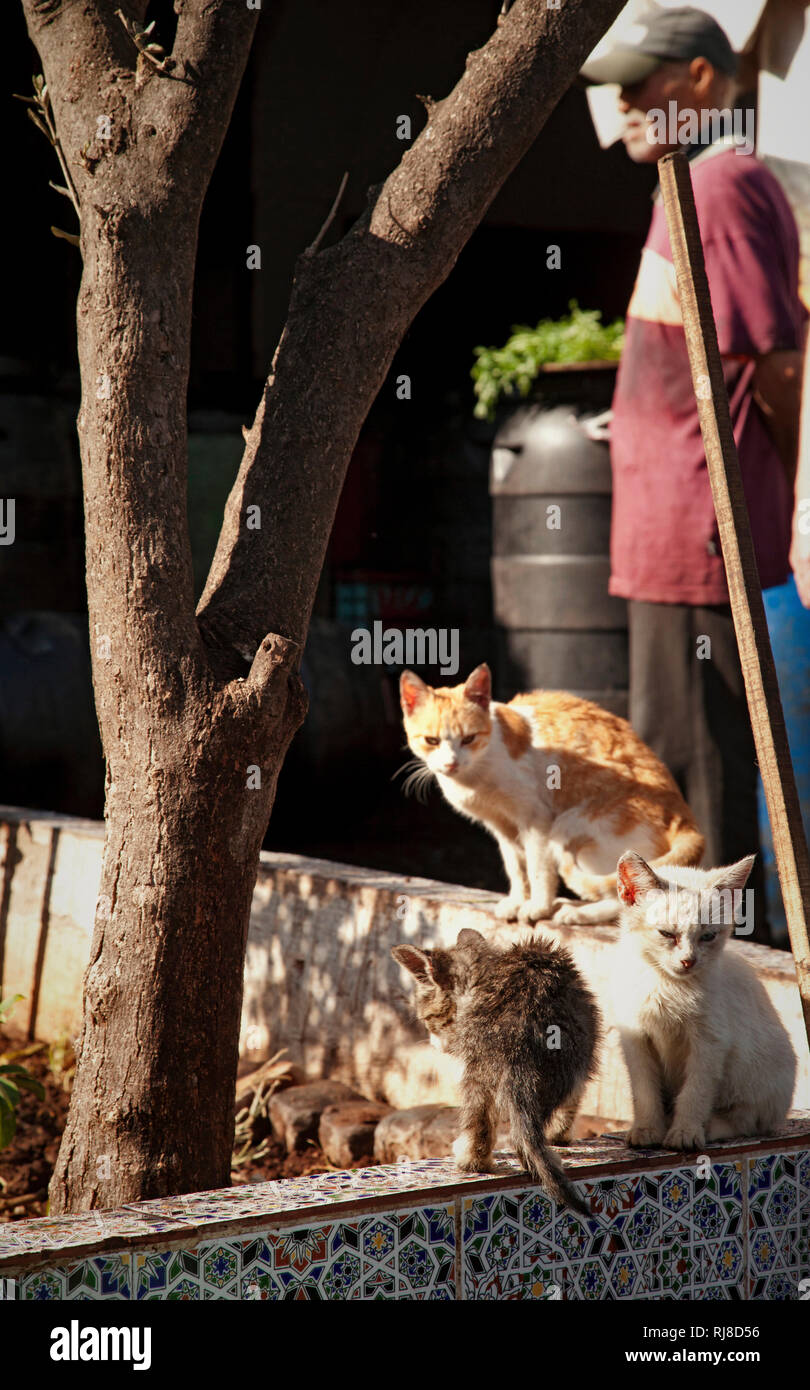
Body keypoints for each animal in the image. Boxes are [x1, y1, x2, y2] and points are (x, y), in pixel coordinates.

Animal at [391, 934, 602, 1217]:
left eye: (427, 1020)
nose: (435, 1045)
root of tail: (520, 1028)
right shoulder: (585, 1055)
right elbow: (571, 1103)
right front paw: (561, 1136)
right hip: (568, 1054)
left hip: (480, 1068)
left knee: (480, 1115)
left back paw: (473, 1161)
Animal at [400, 664, 703, 922]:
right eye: (431, 741)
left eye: (469, 739)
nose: (451, 763)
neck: (475, 777)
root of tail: (687, 820)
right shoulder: (502, 826)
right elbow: (515, 868)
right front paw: (517, 900)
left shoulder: (536, 820)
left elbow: (538, 867)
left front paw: (537, 906)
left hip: (574, 824)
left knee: (626, 891)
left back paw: (580, 914)